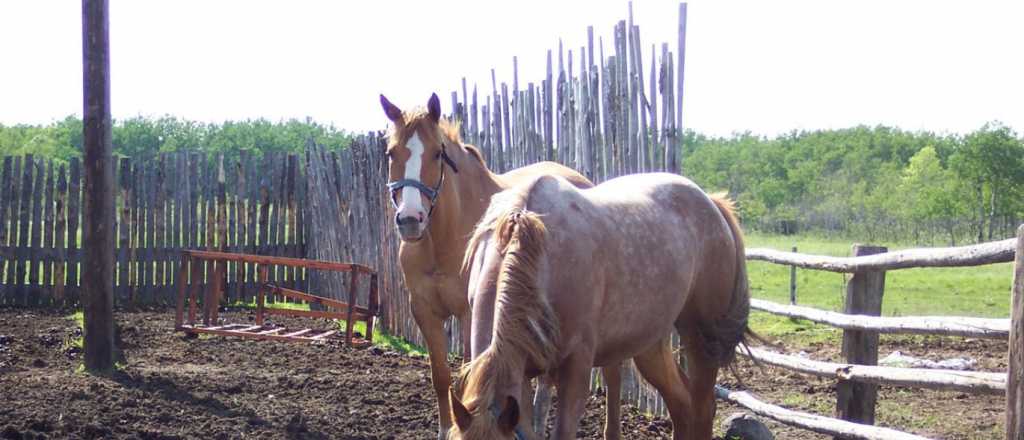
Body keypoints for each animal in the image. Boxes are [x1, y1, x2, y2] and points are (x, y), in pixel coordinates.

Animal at [452, 172, 749, 440]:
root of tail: (711, 203)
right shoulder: (522, 370)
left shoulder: (576, 367)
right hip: (650, 343)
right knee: (681, 404)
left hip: (701, 336)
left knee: (703, 407)